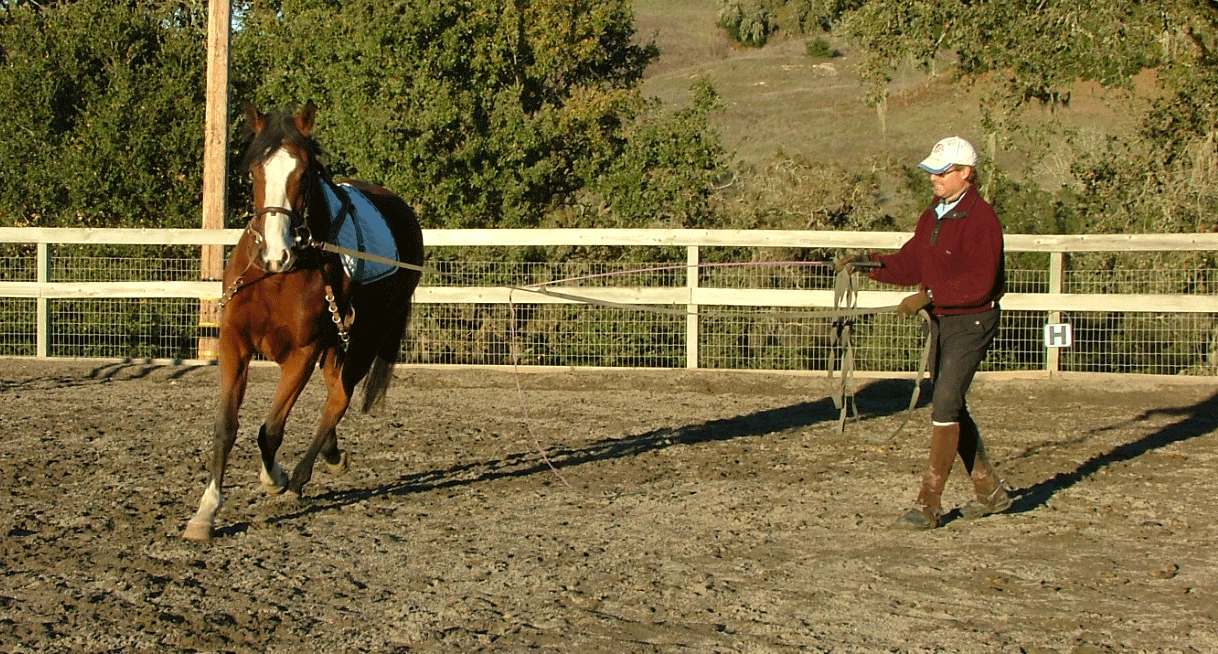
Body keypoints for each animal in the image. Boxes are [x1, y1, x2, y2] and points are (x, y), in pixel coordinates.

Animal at [183, 101, 424, 541]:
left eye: (304, 173)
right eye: (255, 170)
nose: (275, 253)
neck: (276, 278)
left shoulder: (302, 353)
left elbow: (270, 430)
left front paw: (274, 478)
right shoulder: (233, 343)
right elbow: (226, 426)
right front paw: (206, 511)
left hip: (366, 336)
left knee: (339, 398)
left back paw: (298, 479)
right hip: (338, 341)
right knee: (334, 389)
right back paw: (331, 455)